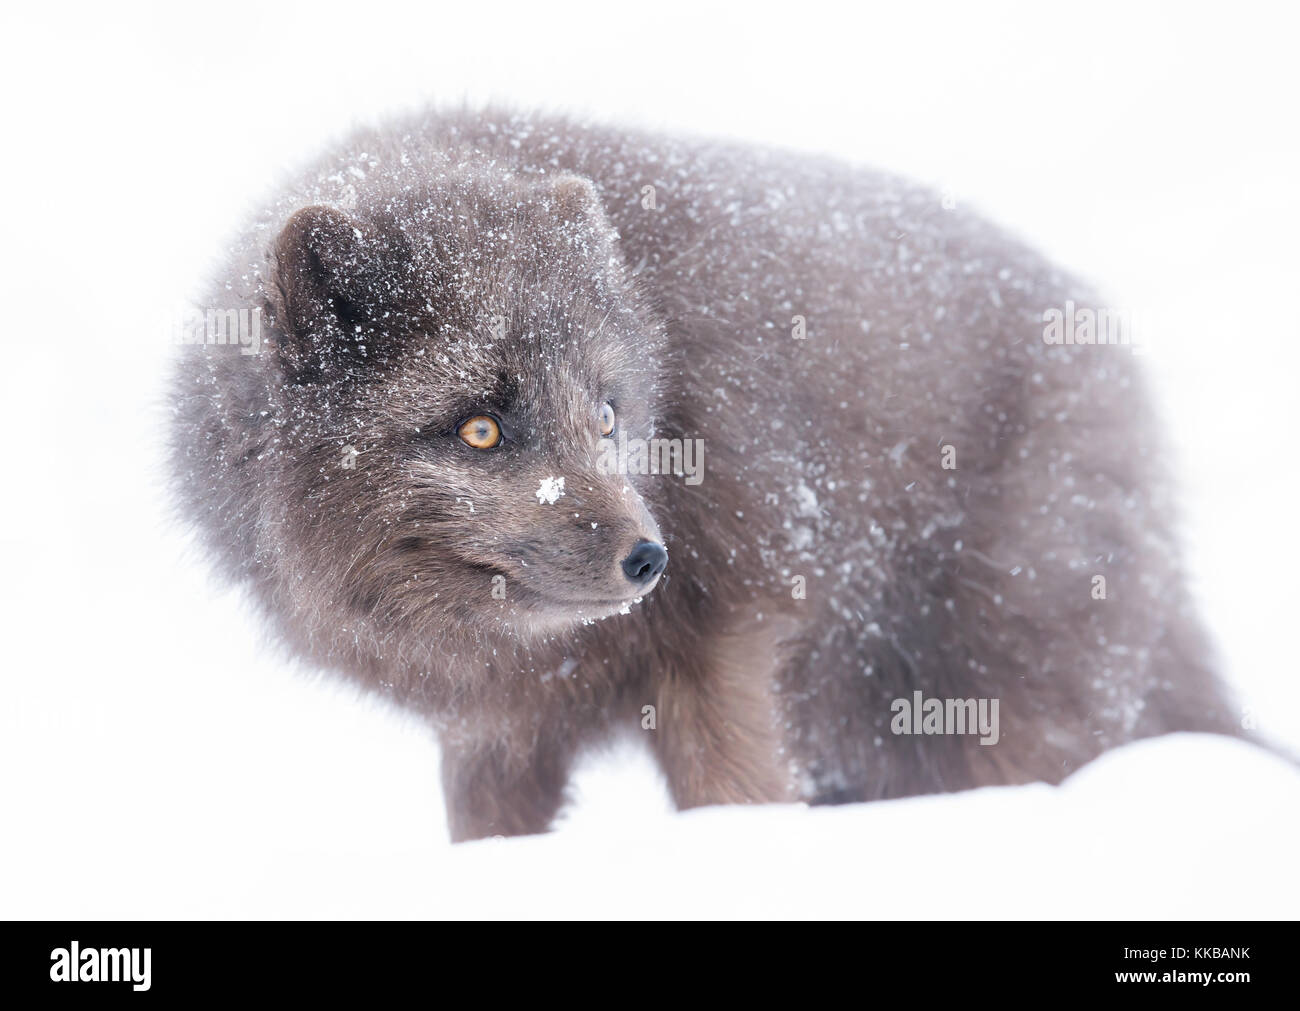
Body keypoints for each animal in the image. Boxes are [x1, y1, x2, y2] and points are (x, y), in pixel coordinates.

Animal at [170, 107, 1242, 840]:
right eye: (480, 429)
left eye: (608, 414)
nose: (650, 558)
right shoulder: (489, 728)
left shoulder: (729, 631)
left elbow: (733, 788)